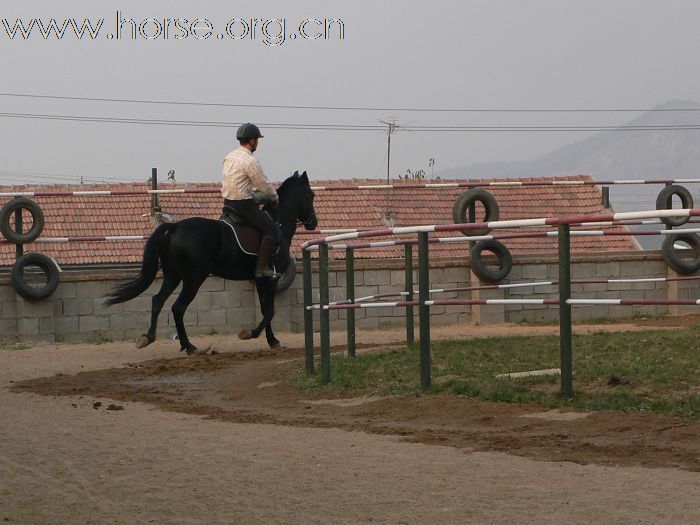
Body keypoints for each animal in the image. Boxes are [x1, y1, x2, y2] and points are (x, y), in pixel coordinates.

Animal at [105, 171, 318, 352]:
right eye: (310, 194)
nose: (313, 223)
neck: (278, 222)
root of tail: (175, 227)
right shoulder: (271, 278)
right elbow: (270, 311)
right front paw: (251, 334)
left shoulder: (260, 279)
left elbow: (266, 309)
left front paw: (272, 340)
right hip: (194, 279)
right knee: (178, 307)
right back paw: (189, 346)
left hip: (173, 276)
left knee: (158, 300)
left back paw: (148, 338)